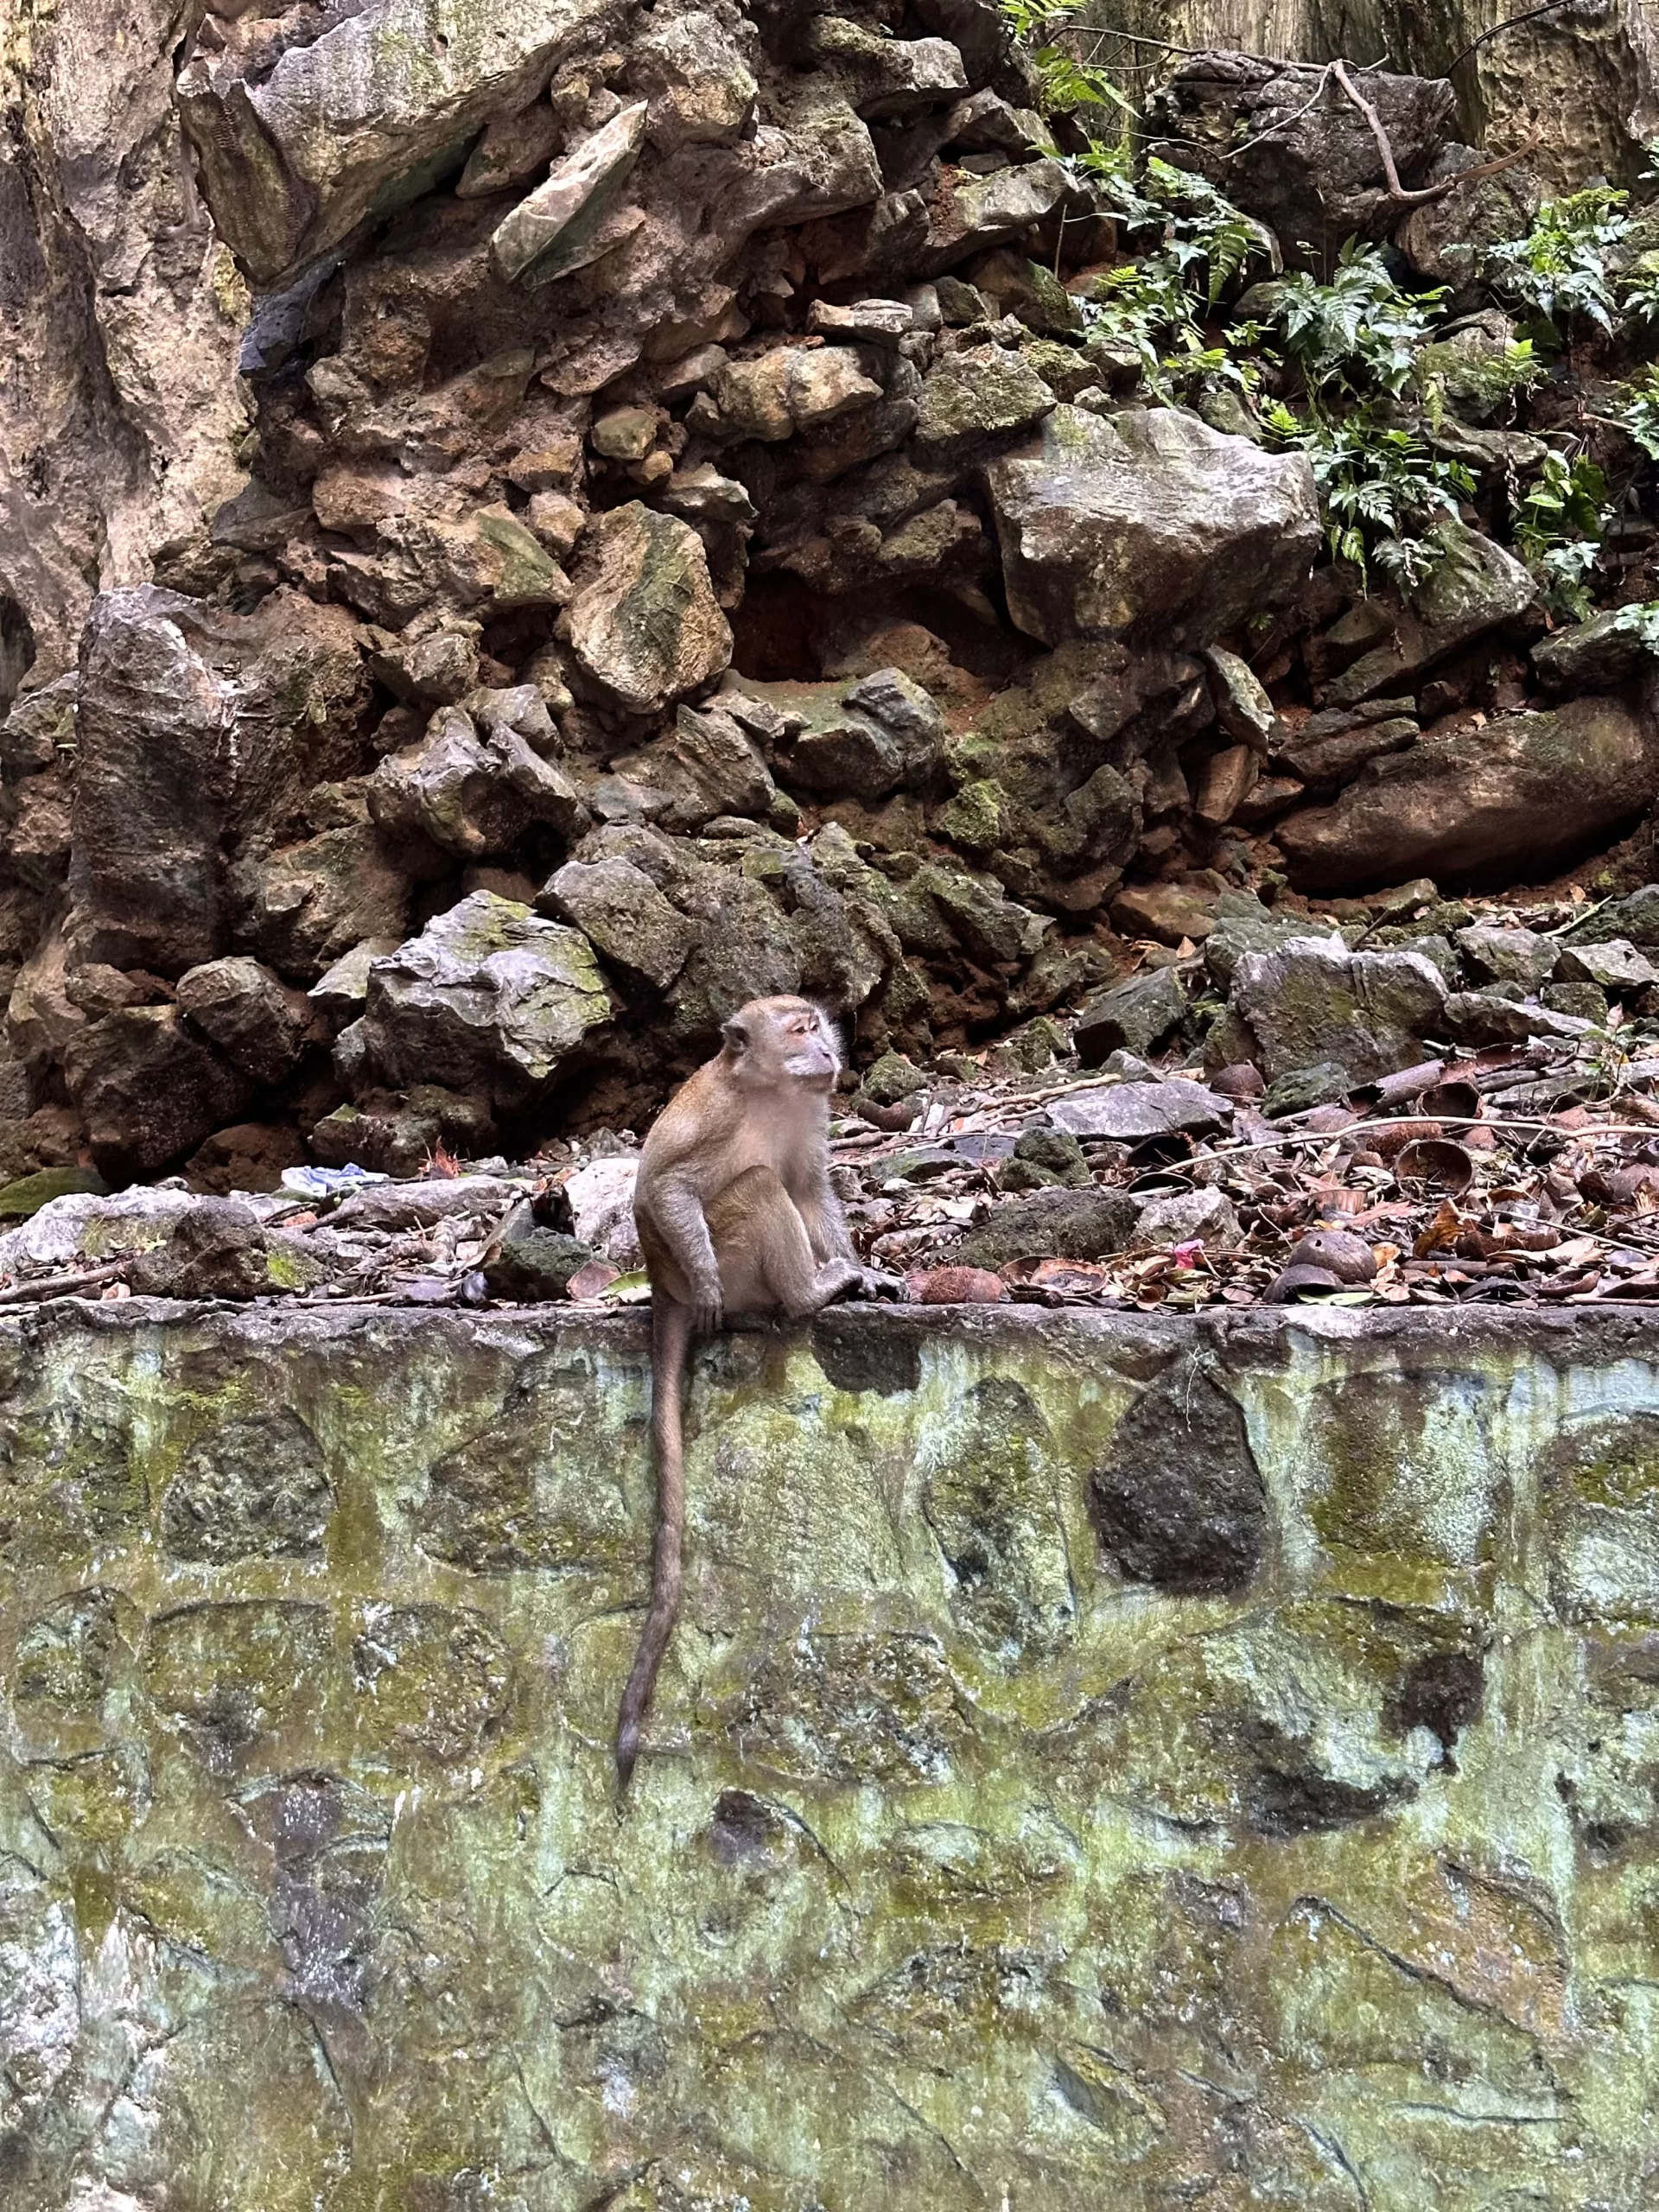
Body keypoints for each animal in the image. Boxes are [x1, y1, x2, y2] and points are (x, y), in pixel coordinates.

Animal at [616, 995, 899, 1787]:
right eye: (799, 1031)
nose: (828, 1051)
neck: (771, 1093)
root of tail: (663, 1290)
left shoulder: (812, 1113)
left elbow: (811, 1189)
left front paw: (867, 1271)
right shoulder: (714, 1115)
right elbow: (666, 1186)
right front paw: (716, 1280)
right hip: (737, 1255)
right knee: (754, 1189)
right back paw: (805, 1294)